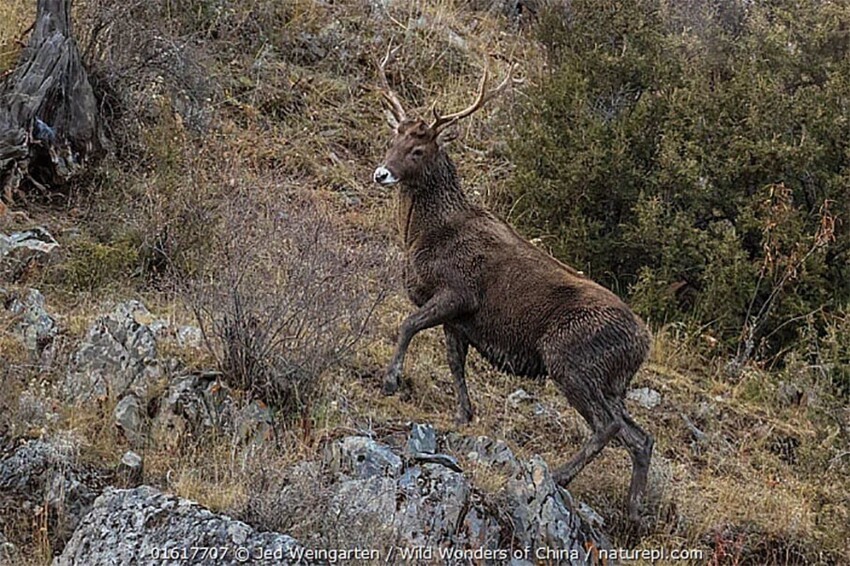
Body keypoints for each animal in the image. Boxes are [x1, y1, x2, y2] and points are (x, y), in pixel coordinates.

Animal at [372, 50, 656, 524]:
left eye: (418, 148)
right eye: (391, 139)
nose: (381, 173)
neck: (423, 237)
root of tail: (644, 344)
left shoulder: (458, 291)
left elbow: (409, 324)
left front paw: (392, 380)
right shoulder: (459, 320)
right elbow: (455, 363)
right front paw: (464, 414)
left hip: (570, 358)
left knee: (608, 426)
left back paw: (559, 476)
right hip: (613, 380)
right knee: (641, 436)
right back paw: (634, 510)